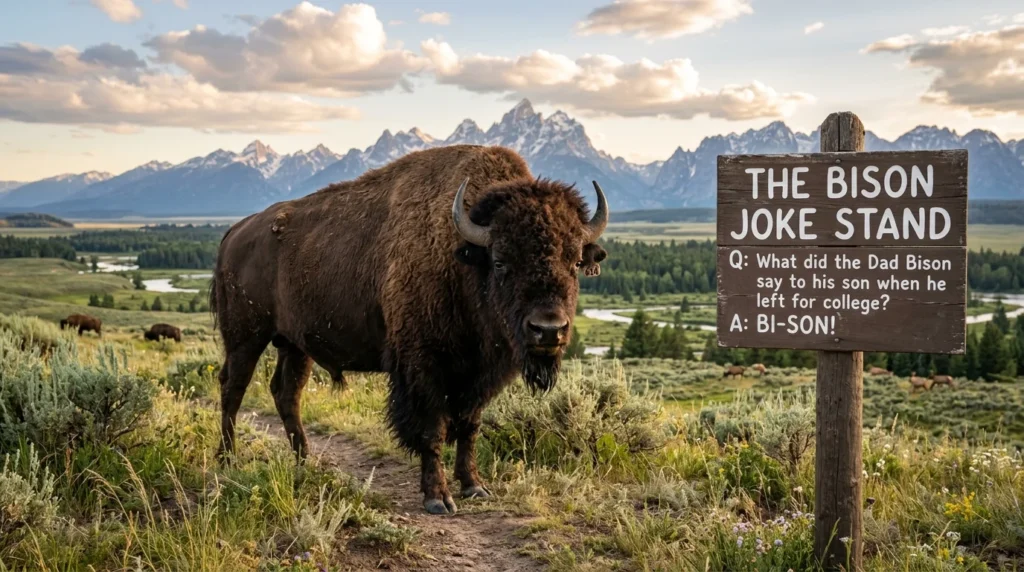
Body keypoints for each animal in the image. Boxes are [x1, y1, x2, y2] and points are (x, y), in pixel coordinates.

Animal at [211, 145, 609, 515]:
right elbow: (433, 429)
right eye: (500, 261)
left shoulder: (478, 375)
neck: (462, 257)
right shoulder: (423, 366)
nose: (548, 330)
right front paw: (438, 498)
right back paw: (227, 459)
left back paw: (304, 461)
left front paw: (474, 486)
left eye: (575, 261)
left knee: (286, 393)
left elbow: (469, 426)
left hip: (295, 345)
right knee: (233, 388)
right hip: (245, 337)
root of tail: (235, 231)